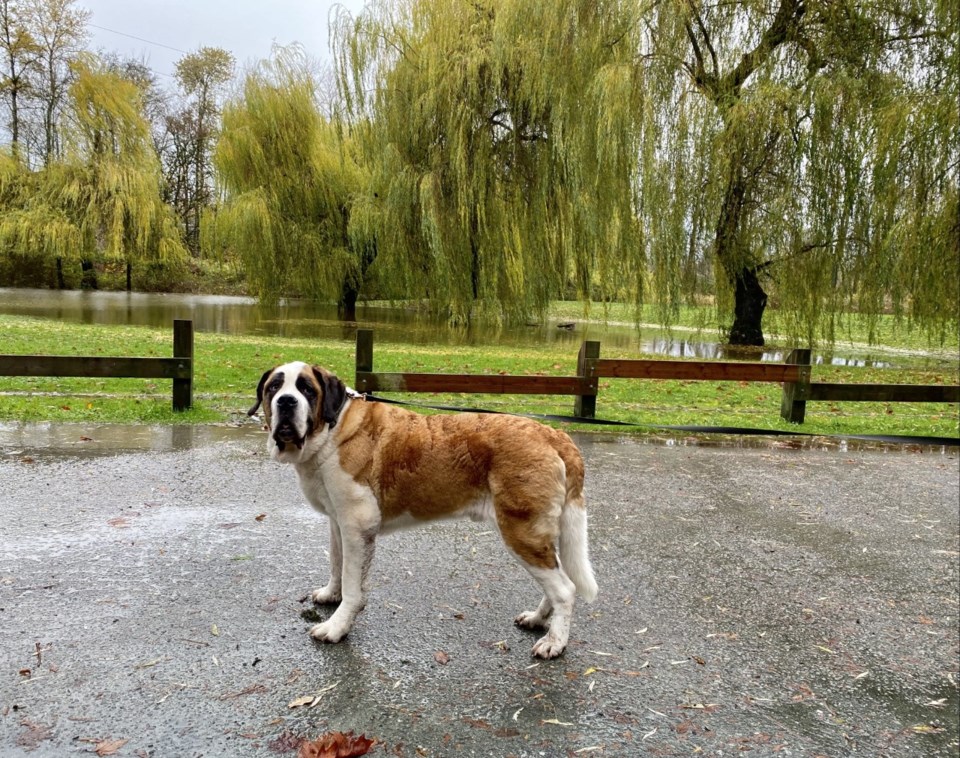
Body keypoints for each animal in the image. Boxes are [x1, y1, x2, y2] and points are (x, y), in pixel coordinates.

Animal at [249, 362, 592, 660]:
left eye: (306, 389)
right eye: (274, 388)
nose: (286, 401)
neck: (333, 430)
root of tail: (554, 434)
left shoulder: (357, 526)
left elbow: (352, 583)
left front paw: (336, 626)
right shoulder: (338, 522)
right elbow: (336, 563)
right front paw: (330, 594)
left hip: (521, 532)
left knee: (564, 588)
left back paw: (554, 642)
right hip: (535, 534)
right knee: (555, 578)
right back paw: (538, 618)